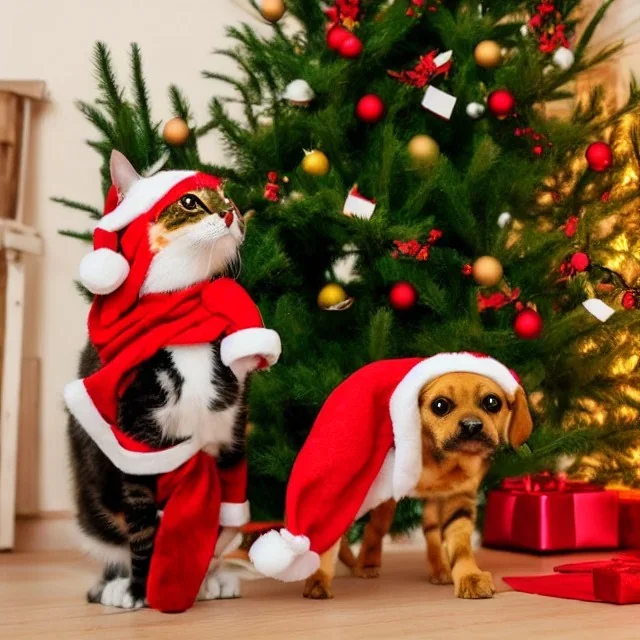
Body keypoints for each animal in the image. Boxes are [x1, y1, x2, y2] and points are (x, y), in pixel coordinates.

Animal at [67, 151, 252, 608]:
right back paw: (114, 586)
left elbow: (215, 523)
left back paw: (216, 578)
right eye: (189, 201)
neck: (182, 318)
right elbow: (141, 526)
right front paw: (141, 589)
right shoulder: (133, 442)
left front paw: (198, 580)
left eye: (228, 197)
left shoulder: (229, 437)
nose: (231, 213)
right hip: (90, 506)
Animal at [302, 370, 532, 600]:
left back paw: (439, 568)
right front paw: (319, 578)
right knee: (376, 526)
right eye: (440, 405)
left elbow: (459, 544)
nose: (472, 426)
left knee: (430, 531)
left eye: (492, 402)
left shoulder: (459, 497)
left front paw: (469, 576)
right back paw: (367, 563)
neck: (442, 462)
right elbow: (339, 531)